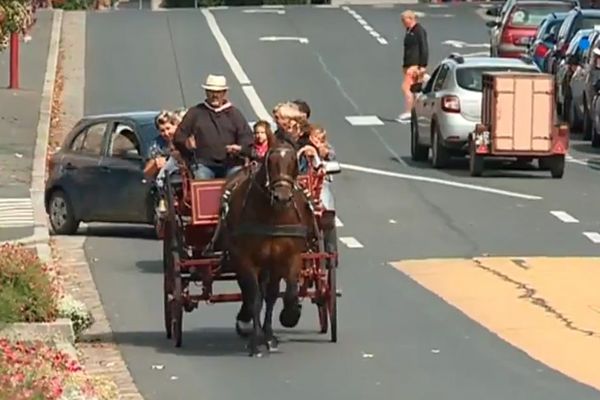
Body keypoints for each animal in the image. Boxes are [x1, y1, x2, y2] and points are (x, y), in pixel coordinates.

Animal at [223, 139, 322, 358]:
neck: (272, 215)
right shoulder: (245, 260)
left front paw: (287, 319)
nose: (282, 197)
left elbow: (283, 294)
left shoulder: (287, 257)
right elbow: (255, 298)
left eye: (293, 160)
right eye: (271, 160)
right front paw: (256, 341)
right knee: (251, 293)